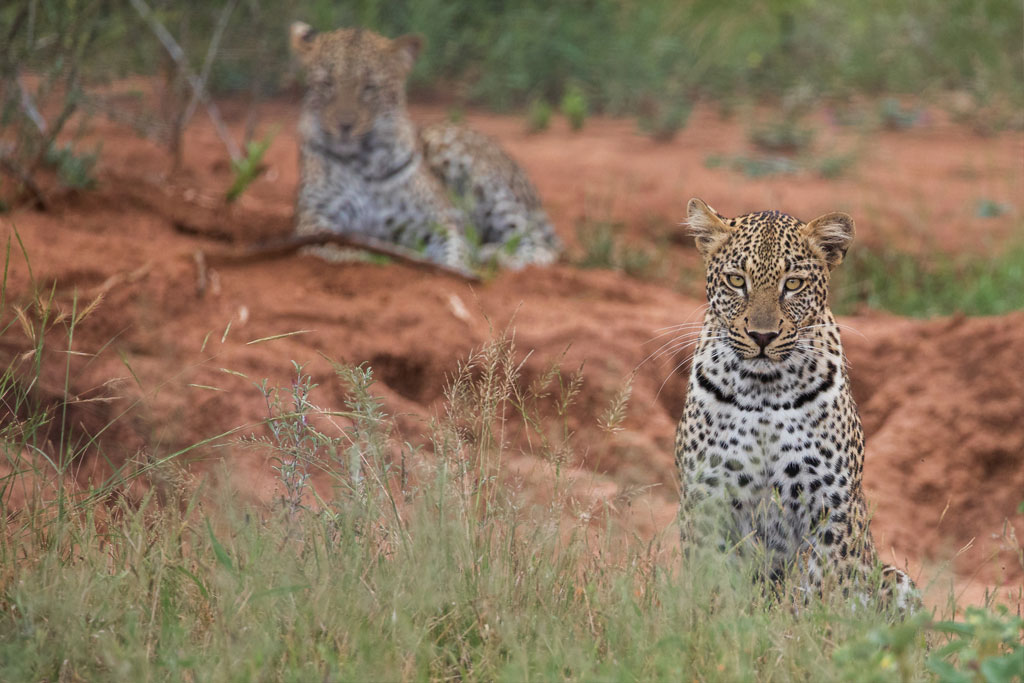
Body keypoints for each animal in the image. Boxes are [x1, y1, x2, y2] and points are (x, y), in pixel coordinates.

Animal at [286, 23, 561, 274]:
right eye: (326, 83)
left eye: (370, 87)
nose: (344, 125)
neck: (362, 161)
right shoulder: (315, 221)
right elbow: (331, 249)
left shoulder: (439, 223)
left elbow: (454, 252)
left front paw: (458, 267)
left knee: (541, 245)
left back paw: (495, 255)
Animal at [671, 197, 921, 614]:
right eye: (736, 281)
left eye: (793, 284)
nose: (762, 336)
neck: (763, 389)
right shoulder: (706, 499)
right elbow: (710, 583)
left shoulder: (830, 506)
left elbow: (823, 589)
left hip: (897, 578)